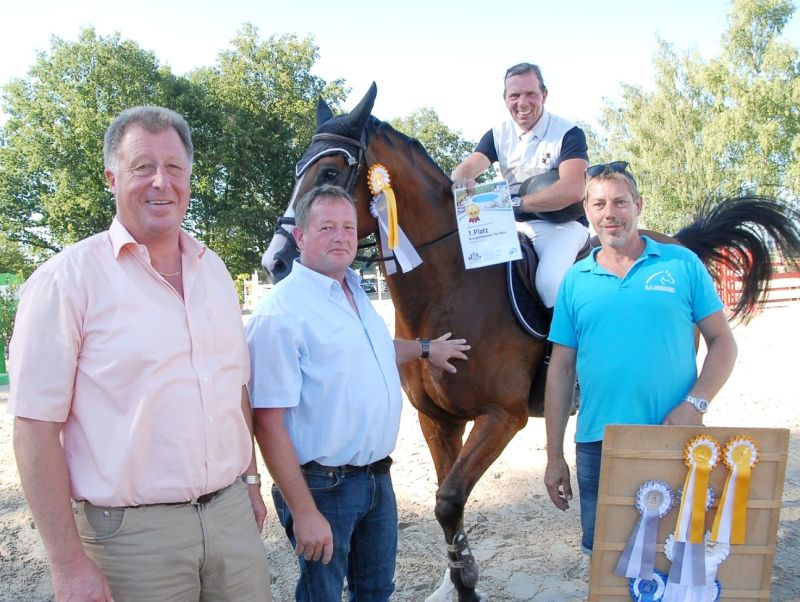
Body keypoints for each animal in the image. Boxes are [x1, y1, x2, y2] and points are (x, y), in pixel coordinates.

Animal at [262, 82, 800, 596]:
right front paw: (456, 579)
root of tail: (672, 241)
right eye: (298, 170)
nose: (277, 262)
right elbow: (446, 499)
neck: (448, 289)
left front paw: (467, 582)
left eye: (330, 173)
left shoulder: (503, 416)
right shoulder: (436, 419)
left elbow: (448, 500)